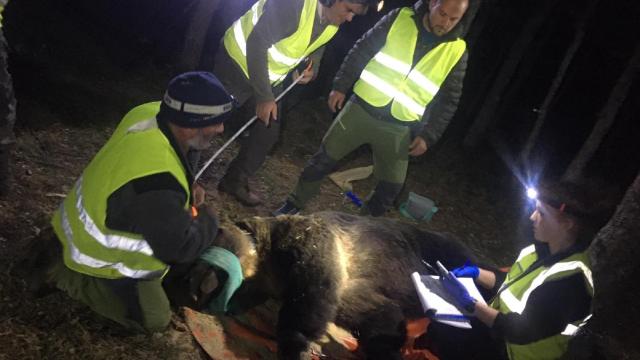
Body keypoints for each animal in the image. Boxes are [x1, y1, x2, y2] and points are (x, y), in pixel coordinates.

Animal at [162, 211, 478, 360]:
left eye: (195, 261)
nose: (190, 290)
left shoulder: (314, 244)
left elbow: (309, 303)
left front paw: (296, 347)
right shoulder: (345, 289)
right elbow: (378, 314)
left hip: (442, 251)